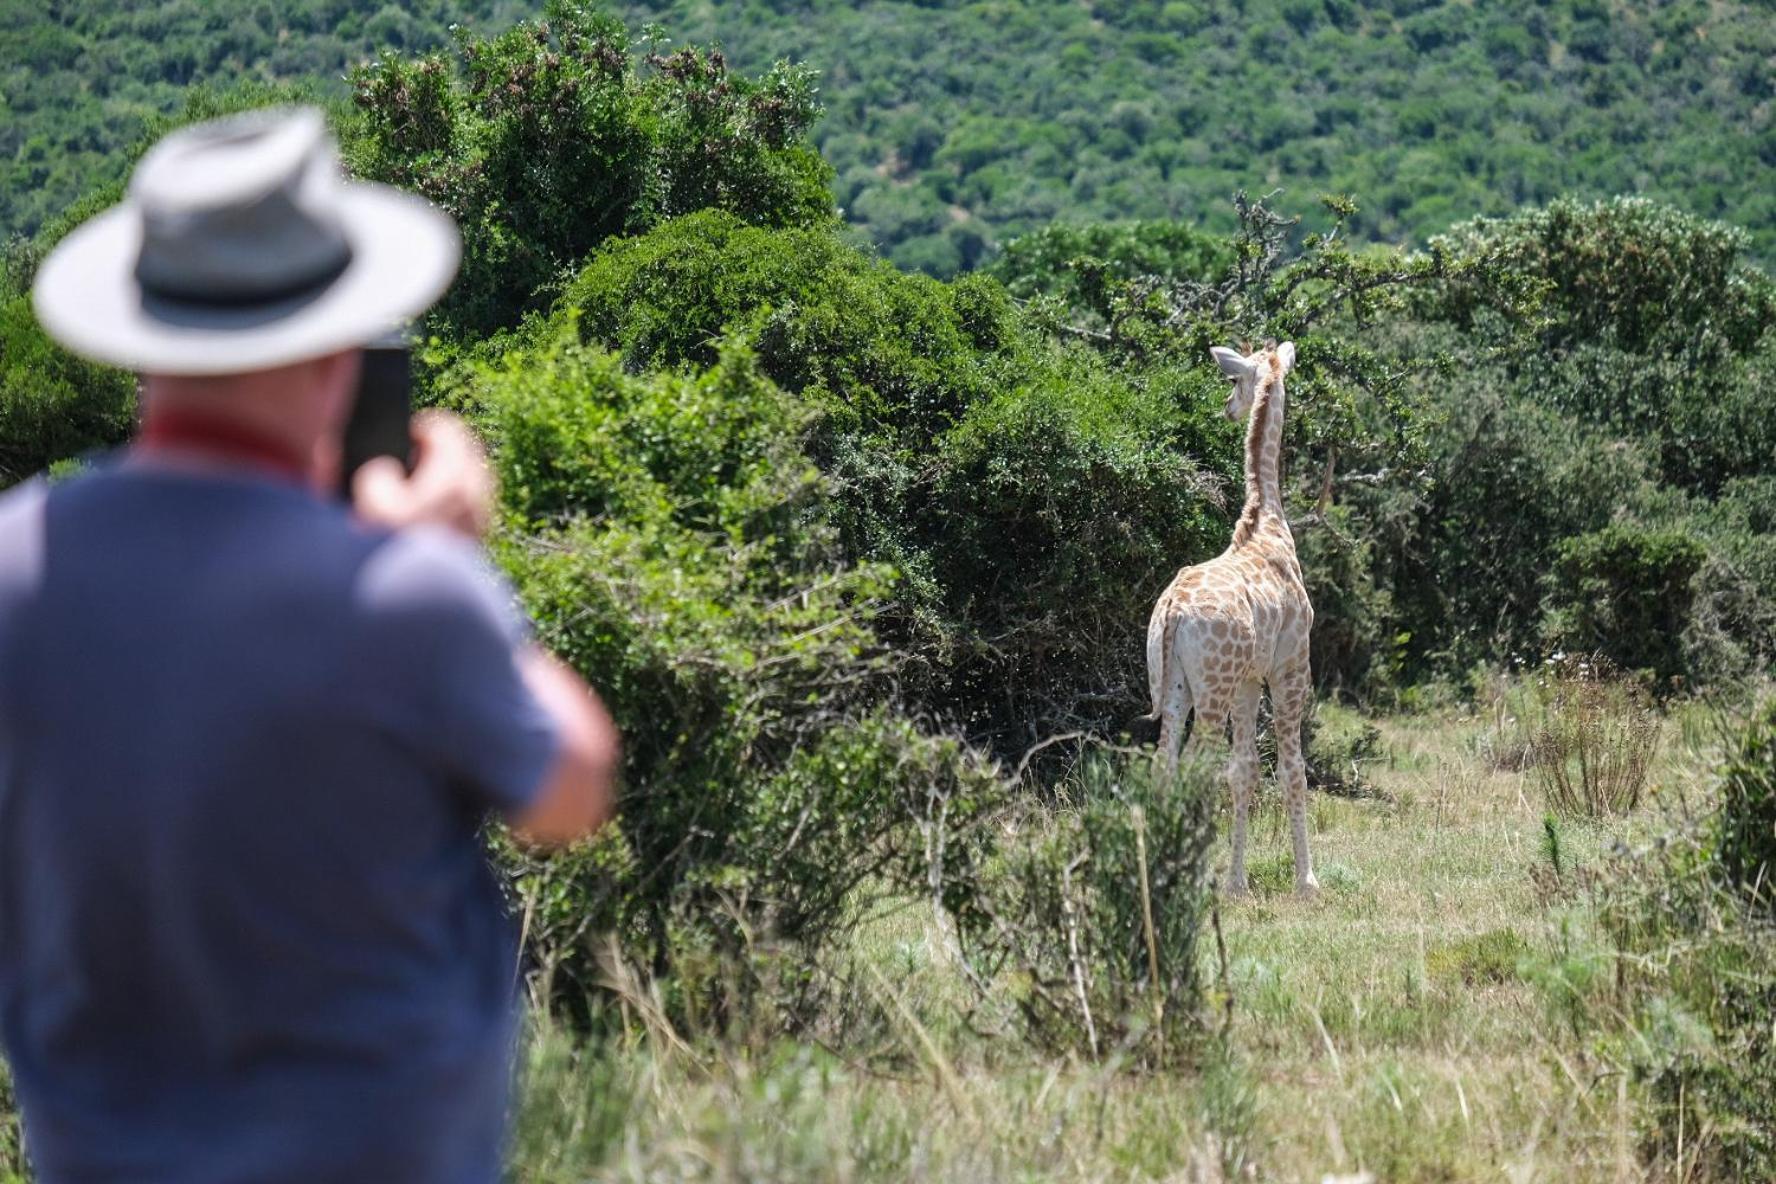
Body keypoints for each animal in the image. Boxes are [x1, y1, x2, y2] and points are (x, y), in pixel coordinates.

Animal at [1136, 340, 1321, 898]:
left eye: (1235, 381)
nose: (1227, 408)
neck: (1267, 524)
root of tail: (1172, 609)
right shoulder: (1290, 669)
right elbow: (1292, 769)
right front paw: (1307, 879)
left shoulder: (1247, 681)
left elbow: (1244, 772)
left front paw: (1237, 881)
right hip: (1212, 691)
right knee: (1195, 768)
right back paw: (1189, 875)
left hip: (1176, 686)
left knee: (1164, 765)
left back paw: (1166, 872)